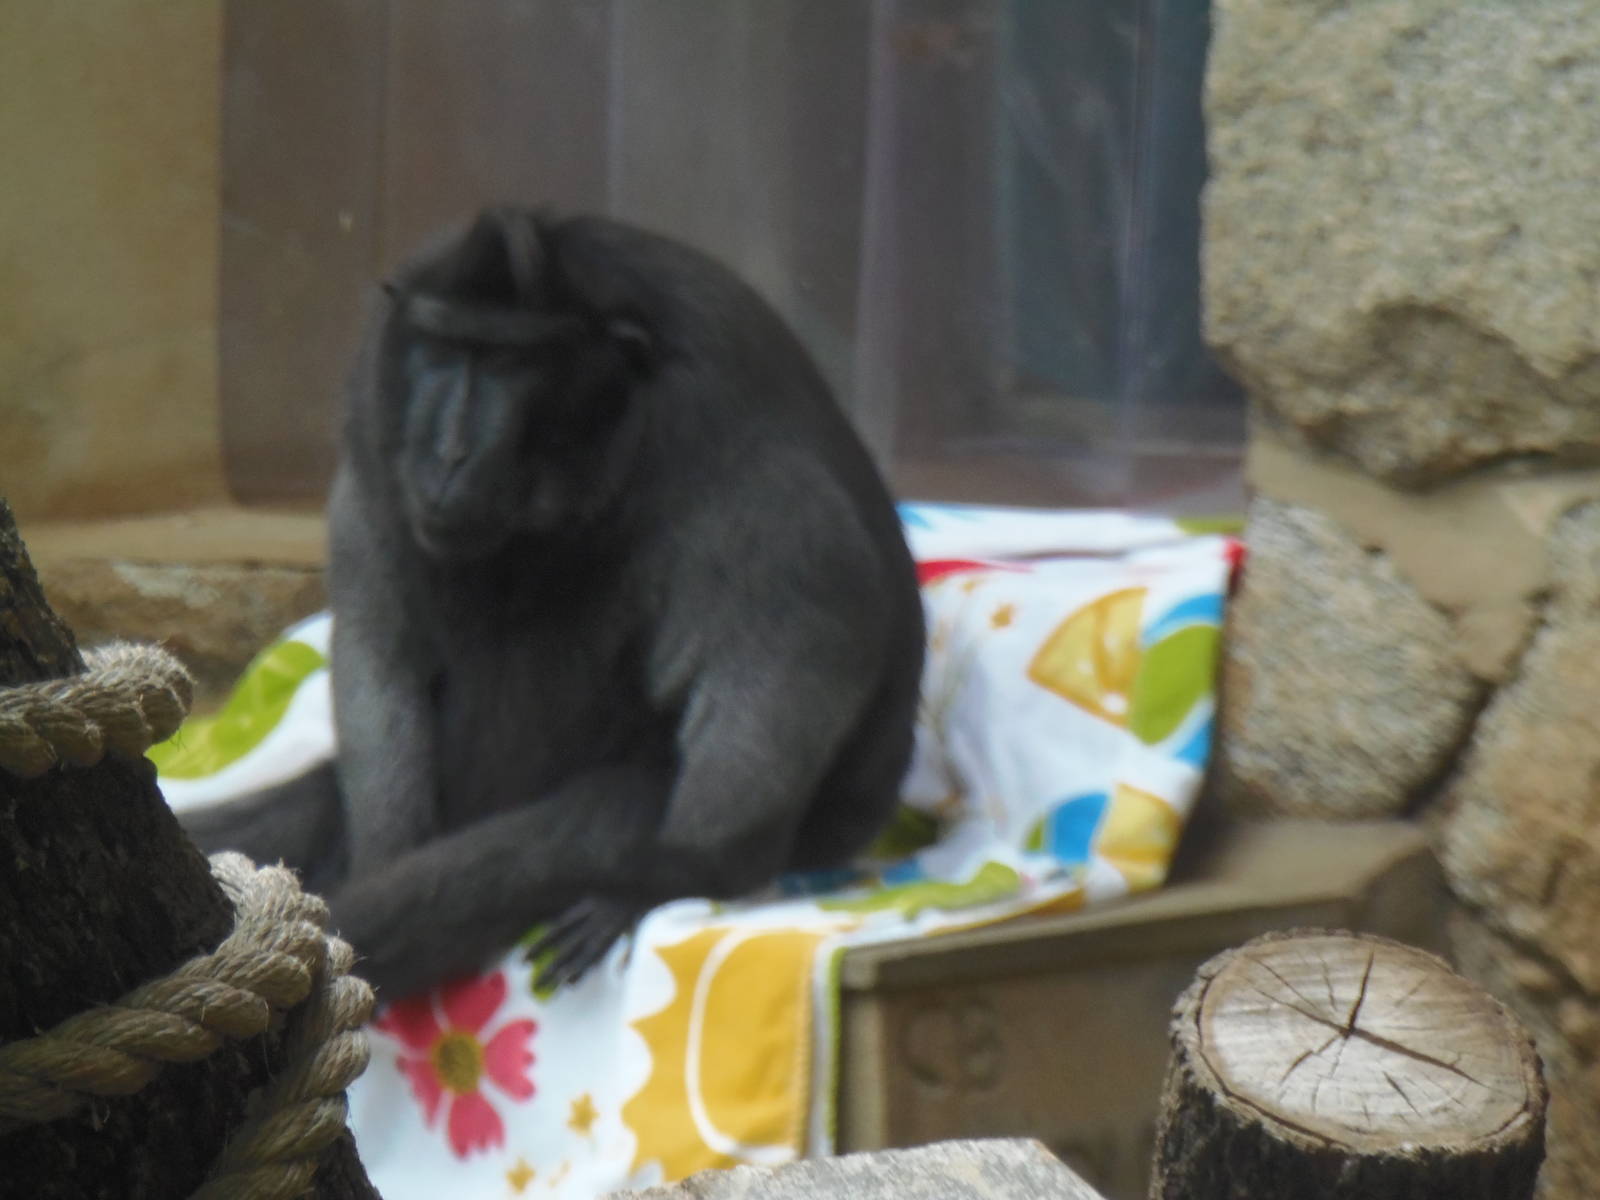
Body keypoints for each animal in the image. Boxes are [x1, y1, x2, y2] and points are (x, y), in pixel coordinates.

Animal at [180, 207, 925, 1001]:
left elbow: (812, 615)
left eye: (511, 364)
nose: (449, 453)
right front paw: (381, 848)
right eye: (444, 350)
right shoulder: (374, 421)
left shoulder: (721, 430)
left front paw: (668, 879)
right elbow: (379, 636)